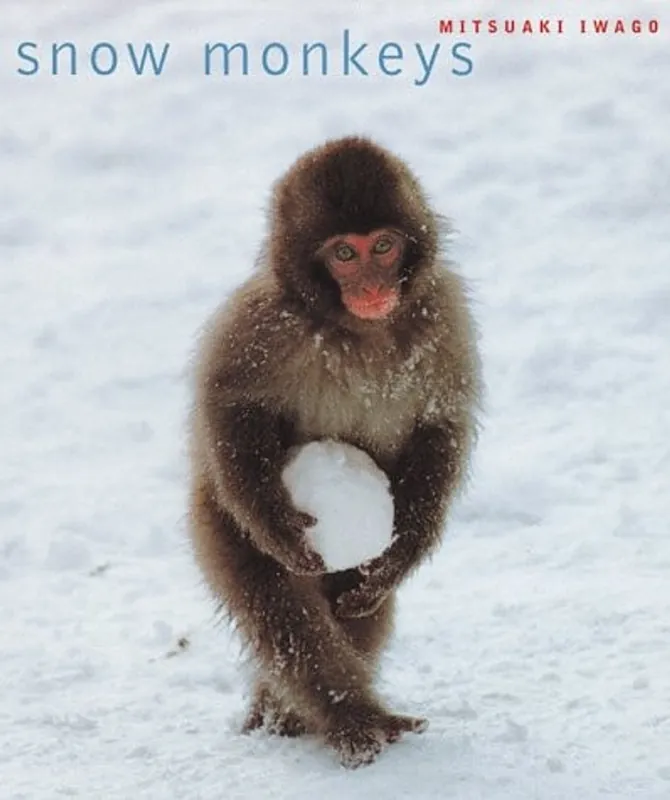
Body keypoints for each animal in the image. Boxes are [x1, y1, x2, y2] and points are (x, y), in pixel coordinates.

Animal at [187, 135, 482, 769]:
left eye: (384, 246)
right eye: (345, 253)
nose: (372, 287)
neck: (356, 329)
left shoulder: (442, 313)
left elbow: (440, 422)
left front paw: (403, 553)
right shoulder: (261, 321)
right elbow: (231, 408)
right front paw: (278, 525)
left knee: (358, 611)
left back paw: (295, 715)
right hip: (218, 521)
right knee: (283, 614)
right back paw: (348, 718)